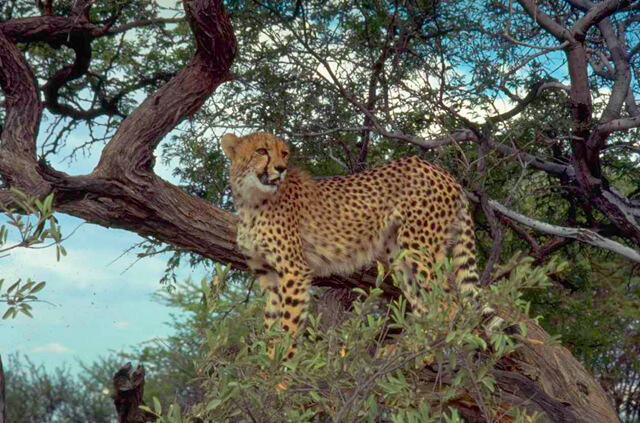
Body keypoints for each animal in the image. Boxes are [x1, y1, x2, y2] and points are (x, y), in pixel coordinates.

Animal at [222, 132, 478, 358]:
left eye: (283, 153)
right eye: (261, 151)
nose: (280, 168)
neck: (251, 201)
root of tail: (442, 171)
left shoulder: (294, 270)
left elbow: (289, 325)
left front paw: (283, 369)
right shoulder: (269, 275)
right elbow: (271, 326)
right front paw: (266, 365)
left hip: (420, 246)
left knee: (448, 303)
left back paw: (425, 351)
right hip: (398, 253)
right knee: (425, 303)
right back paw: (411, 348)